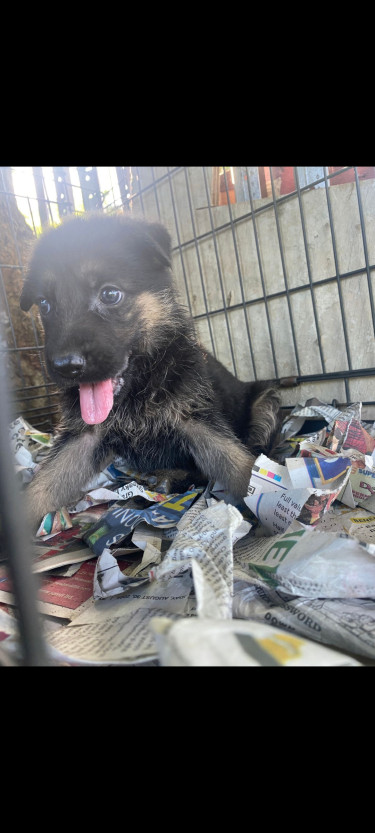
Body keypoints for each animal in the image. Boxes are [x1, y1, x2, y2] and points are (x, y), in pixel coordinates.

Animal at [19, 213, 280, 528]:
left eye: (110, 294)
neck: (138, 389)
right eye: (44, 304)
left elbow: (239, 463)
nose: (66, 366)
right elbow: (43, 484)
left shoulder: (196, 420)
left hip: (265, 402)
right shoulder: (82, 438)